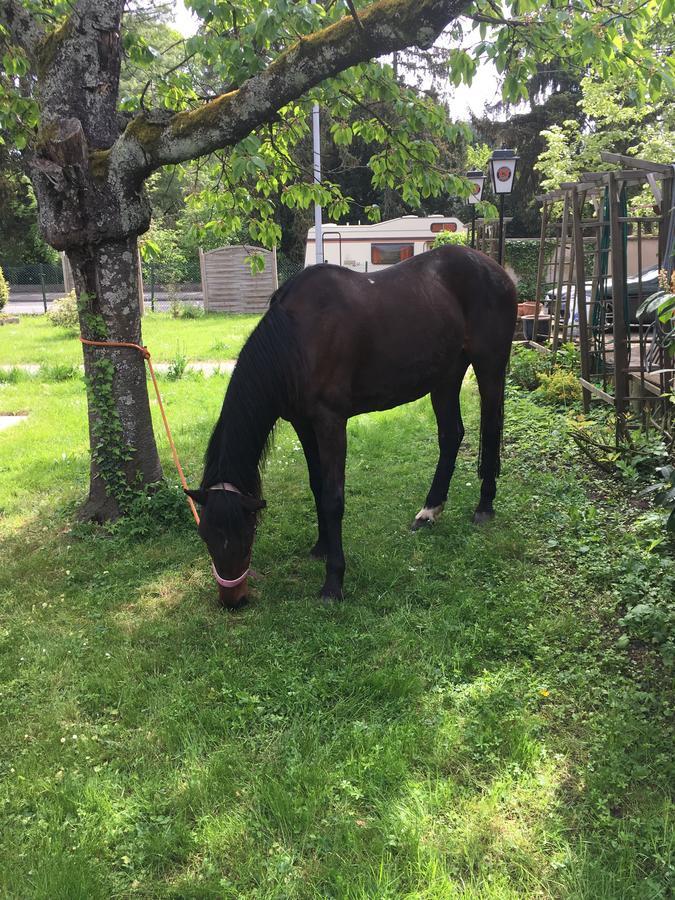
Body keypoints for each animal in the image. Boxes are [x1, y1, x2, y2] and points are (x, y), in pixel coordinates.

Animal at [185, 244, 516, 612]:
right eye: (206, 537)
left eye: (247, 535)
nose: (233, 600)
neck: (297, 340)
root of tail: (496, 270)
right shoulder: (304, 424)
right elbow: (317, 485)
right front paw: (321, 546)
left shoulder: (331, 423)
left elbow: (333, 497)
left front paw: (334, 581)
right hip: (445, 376)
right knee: (451, 435)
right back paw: (430, 511)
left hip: (490, 366)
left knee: (491, 427)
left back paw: (484, 506)